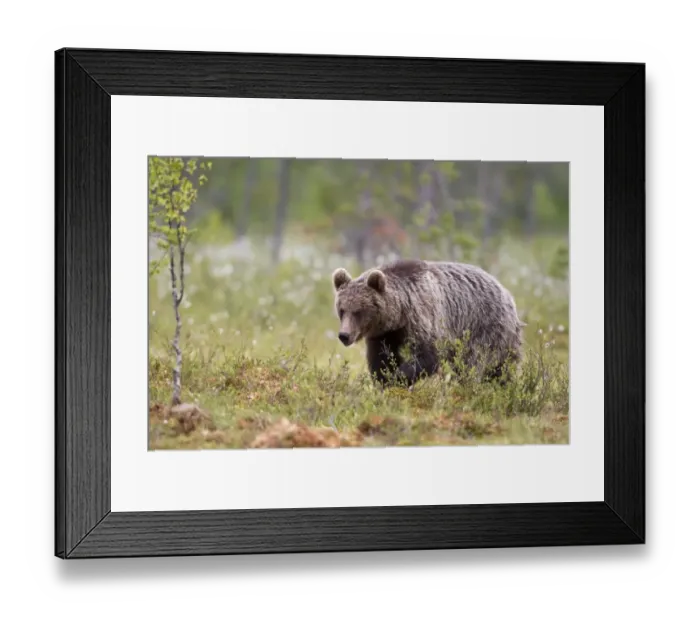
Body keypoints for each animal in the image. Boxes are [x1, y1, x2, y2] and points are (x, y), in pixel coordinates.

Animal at [331, 259, 525, 387]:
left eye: (358, 311)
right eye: (342, 310)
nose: (344, 335)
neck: (398, 315)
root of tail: (507, 293)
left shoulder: (423, 317)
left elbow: (428, 355)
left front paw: (398, 377)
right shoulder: (384, 334)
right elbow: (381, 359)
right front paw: (384, 380)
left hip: (486, 328)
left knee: (475, 363)